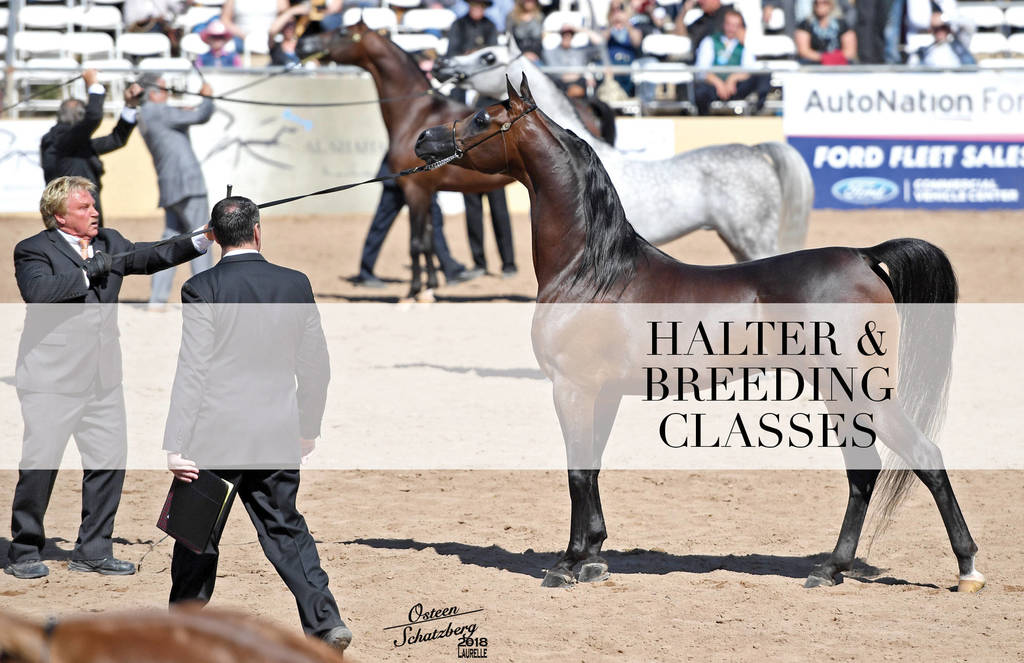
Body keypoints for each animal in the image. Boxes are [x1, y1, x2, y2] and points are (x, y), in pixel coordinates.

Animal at [296, 22, 516, 301]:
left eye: (343, 32)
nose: (303, 44)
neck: (416, 113)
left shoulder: (415, 190)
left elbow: (416, 243)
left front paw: (413, 291)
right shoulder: (428, 191)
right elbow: (429, 240)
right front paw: (430, 286)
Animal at [413, 74, 985, 593]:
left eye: (482, 117)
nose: (424, 139)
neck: (591, 270)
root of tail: (864, 256)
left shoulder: (571, 388)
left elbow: (577, 471)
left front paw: (567, 564)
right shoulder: (602, 393)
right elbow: (592, 469)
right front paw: (594, 558)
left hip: (861, 390)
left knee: (923, 458)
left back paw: (967, 570)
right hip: (839, 393)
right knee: (862, 473)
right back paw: (831, 569)